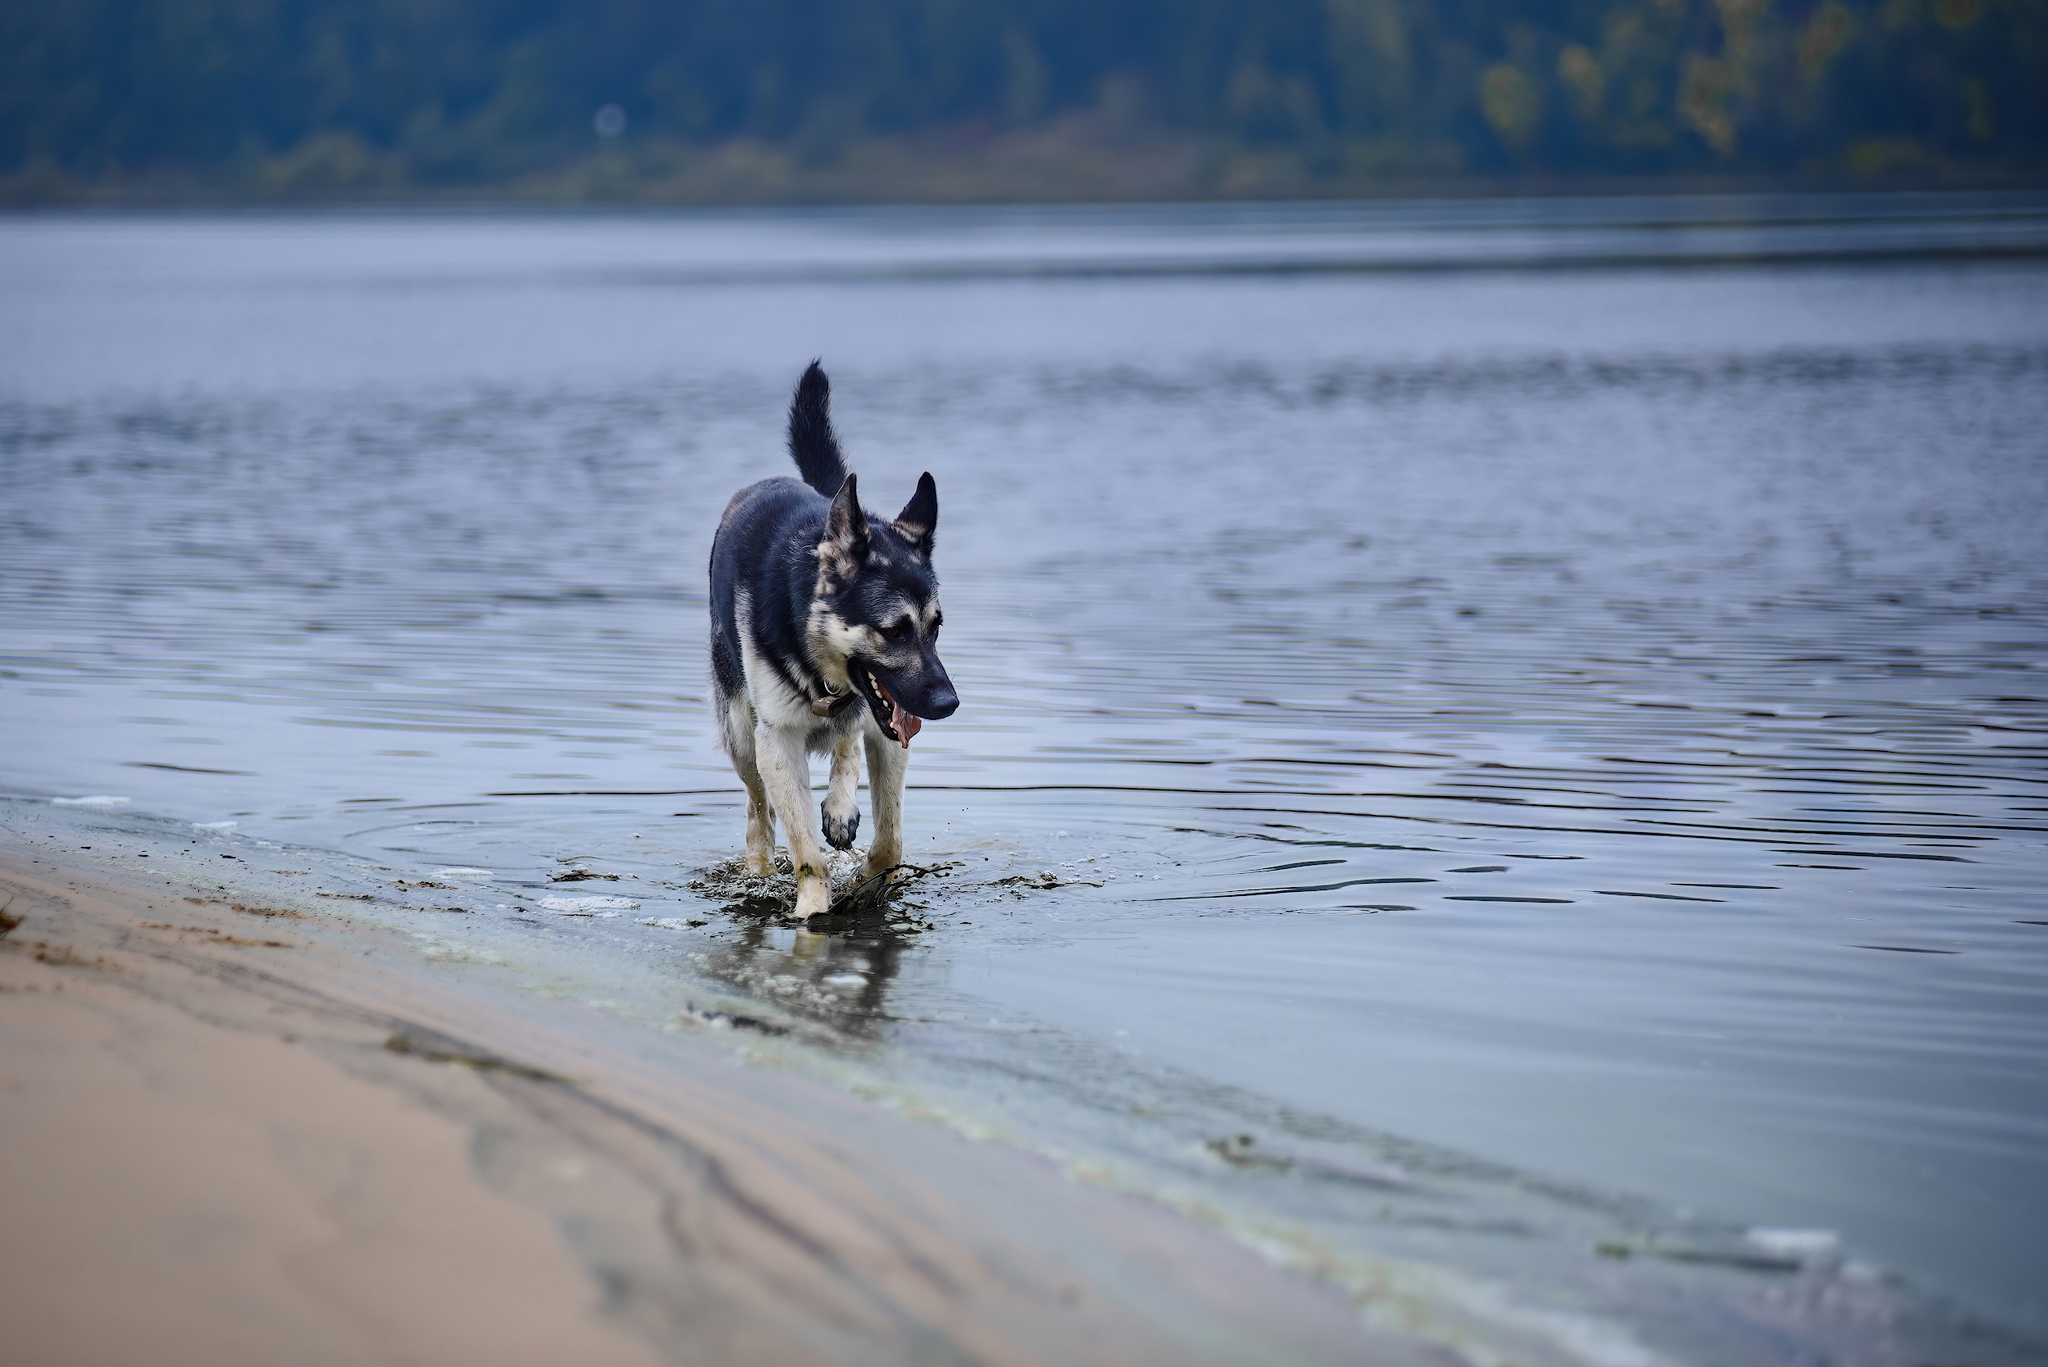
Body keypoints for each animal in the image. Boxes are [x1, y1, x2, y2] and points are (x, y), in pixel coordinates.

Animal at [704, 362, 958, 918]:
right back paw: (758, 866)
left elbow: (890, 840)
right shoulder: (777, 742)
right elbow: (803, 848)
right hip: (741, 733)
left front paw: (867, 882)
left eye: (935, 627)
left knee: (848, 739)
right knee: (757, 808)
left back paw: (841, 806)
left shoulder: (891, 736)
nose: (948, 704)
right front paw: (813, 907)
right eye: (894, 631)